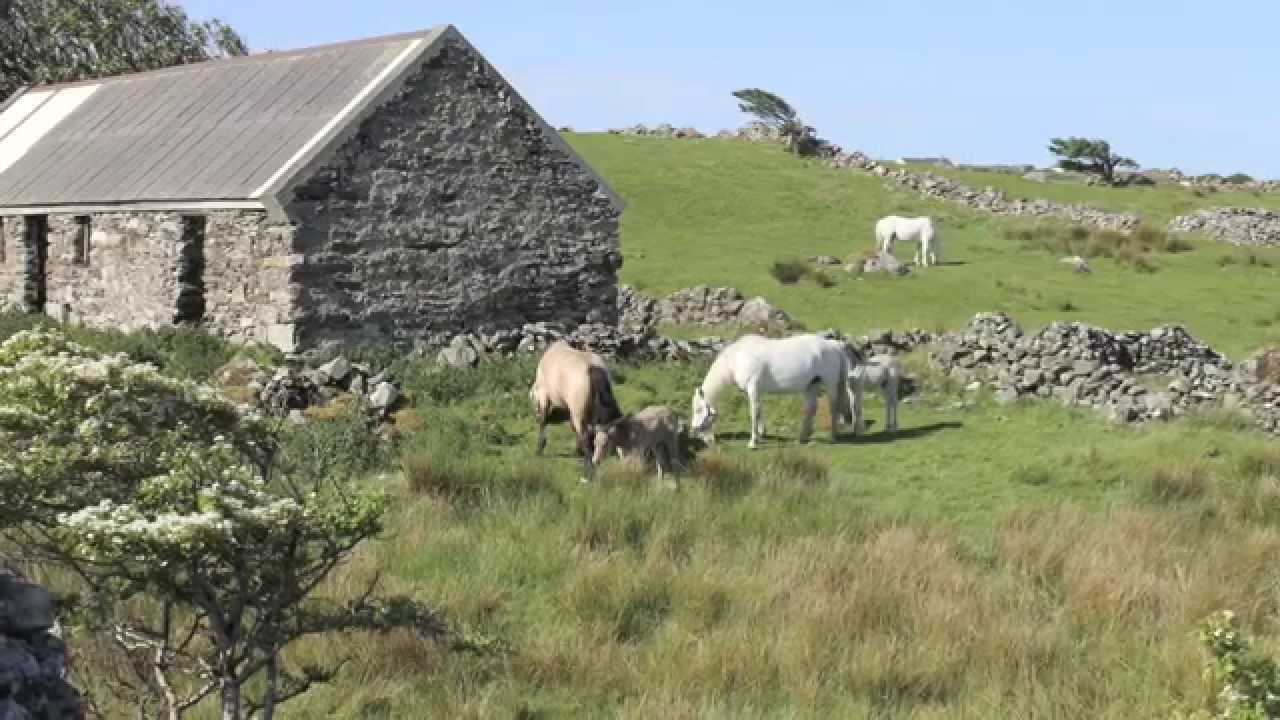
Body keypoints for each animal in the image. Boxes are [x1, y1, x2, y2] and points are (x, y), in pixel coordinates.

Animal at [529, 340, 623, 482]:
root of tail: (594, 369)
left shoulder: (544, 396)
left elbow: (543, 422)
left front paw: (539, 448)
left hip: (579, 412)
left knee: (585, 436)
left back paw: (589, 471)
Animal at [690, 334, 857, 449]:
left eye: (698, 410)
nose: (695, 431)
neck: (737, 358)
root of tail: (834, 344)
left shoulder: (753, 389)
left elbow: (753, 414)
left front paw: (753, 442)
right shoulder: (755, 392)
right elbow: (759, 411)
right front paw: (761, 434)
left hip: (830, 384)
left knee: (833, 407)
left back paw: (832, 436)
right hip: (810, 386)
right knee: (811, 408)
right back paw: (803, 437)